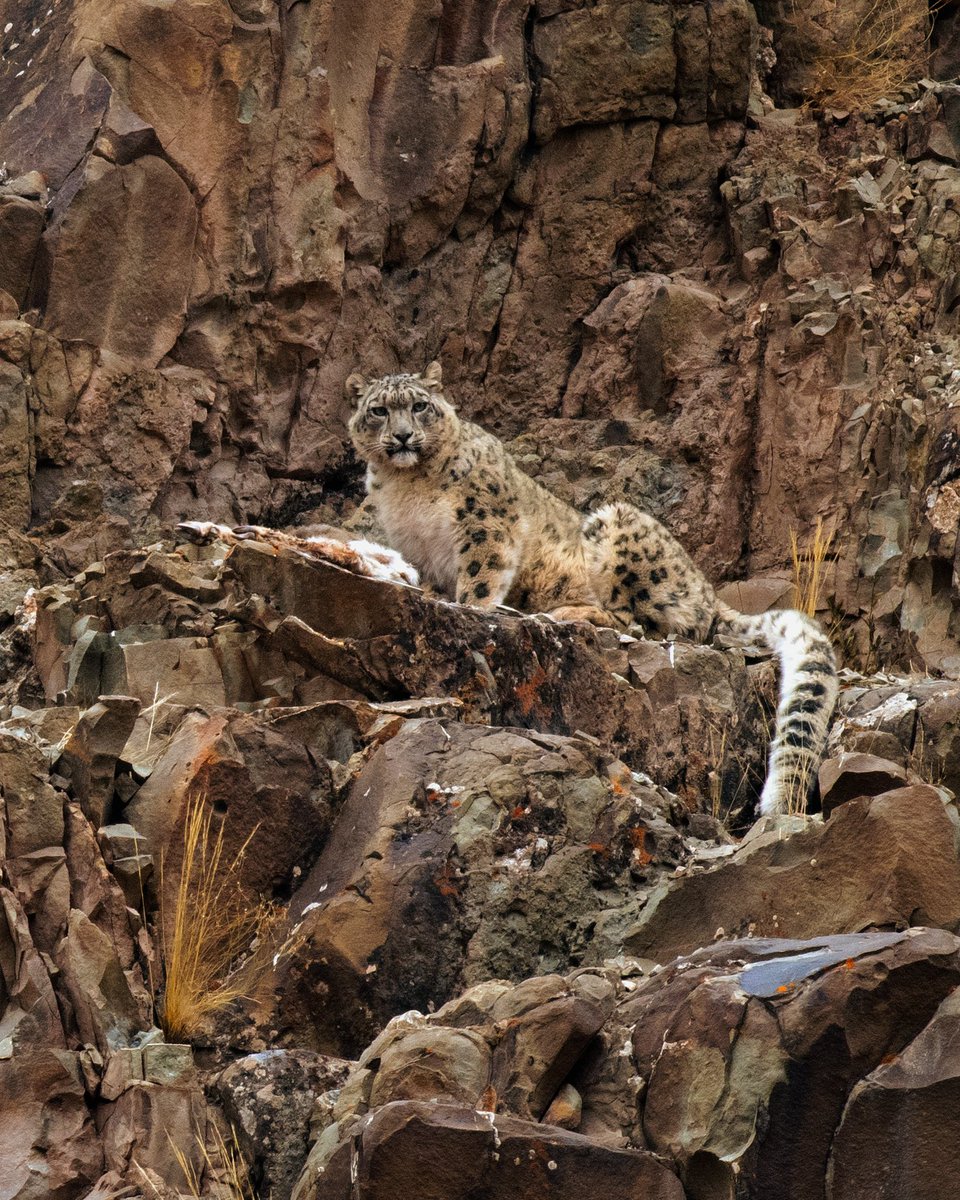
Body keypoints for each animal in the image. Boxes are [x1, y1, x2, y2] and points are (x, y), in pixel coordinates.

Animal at [347, 361, 838, 816]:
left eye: (418, 405)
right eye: (378, 410)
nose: (403, 436)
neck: (409, 489)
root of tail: (708, 590)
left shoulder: (485, 524)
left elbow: (481, 580)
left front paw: (472, 608)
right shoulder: (417, 550)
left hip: (617, 532)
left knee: (643, 624)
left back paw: (565, 612)